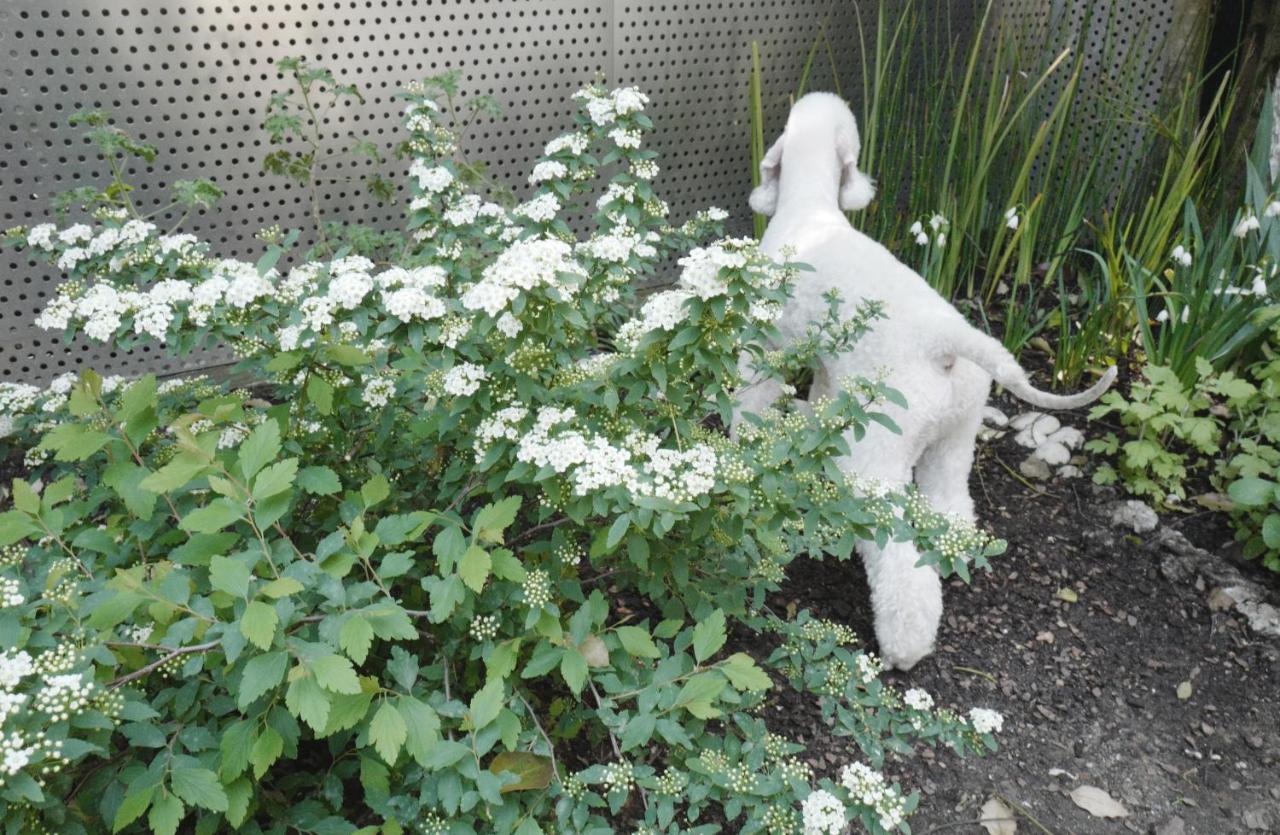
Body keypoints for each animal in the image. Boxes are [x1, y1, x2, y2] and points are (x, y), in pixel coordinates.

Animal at [742, 92, 1121, 671]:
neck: (810, 210)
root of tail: (945, 339)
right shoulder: (831, 362)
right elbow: (824, 390)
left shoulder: (769, 345)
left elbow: (754, 396)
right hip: (954, 436)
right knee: (952, 508)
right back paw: (952, 559)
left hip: (877, 457)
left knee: (901, 564)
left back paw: (905, 645)